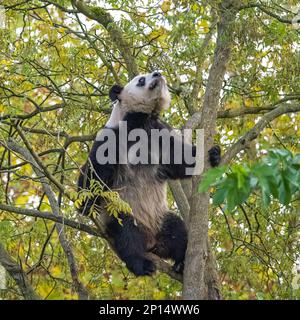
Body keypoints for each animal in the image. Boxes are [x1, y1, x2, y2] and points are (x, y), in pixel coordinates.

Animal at [77, 71, 220, 276]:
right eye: (141, 80)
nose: (157, 74)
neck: (141, 120)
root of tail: (152, 243)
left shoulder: (159, 133)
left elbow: (179, 161)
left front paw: (213, 154)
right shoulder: (114, 136)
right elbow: (94, 173)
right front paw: (86, 203)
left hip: (161, 218)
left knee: (177, 230)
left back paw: (181, 262)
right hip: (120, 212)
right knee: (127, 235)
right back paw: (142, 264)